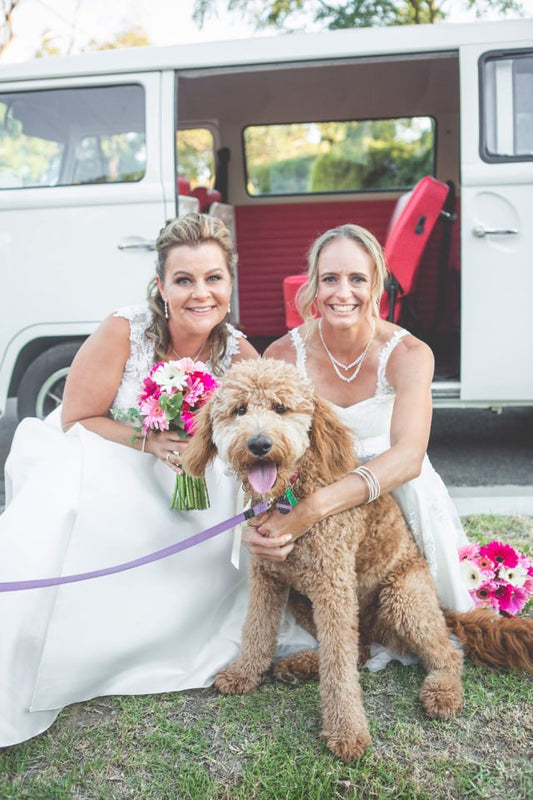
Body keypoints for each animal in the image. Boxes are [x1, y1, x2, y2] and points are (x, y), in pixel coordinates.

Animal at [182, 358, 532, 764]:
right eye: (239, 411)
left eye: (280, 408)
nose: (259, 444)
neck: (290, 494)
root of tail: (444, 608)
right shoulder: (267, 578)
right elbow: (256, 630)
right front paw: (242, 674)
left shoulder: (333, 588)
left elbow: (339, 667)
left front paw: (347, 731)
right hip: (307, 600)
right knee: (358, 650)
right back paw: (299, 665)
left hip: (403, 597)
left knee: (444, 652)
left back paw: (442, 692)